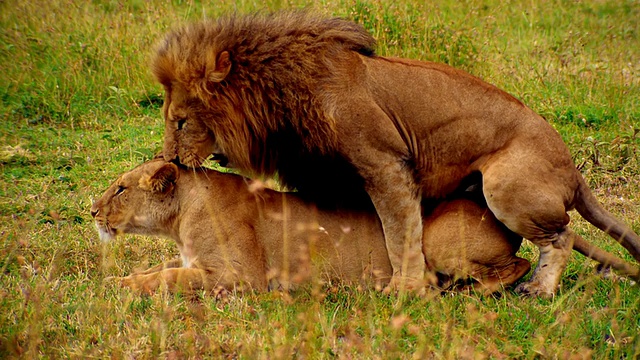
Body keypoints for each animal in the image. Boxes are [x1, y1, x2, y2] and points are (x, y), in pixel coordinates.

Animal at [92, 159, 536, 294]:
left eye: (121, 189)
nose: (91, 210)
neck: (180, 217)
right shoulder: (191, 259)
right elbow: (158, 269)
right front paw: (118, 281)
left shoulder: (243, 276)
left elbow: (169, 278)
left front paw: (122, 287)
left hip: (436, 240)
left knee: (521, 266)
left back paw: (472, 291)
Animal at [154, 12, 640, 296]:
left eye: (180, 121)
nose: (171, 161)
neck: (279, 100)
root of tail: (573, 169)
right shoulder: (322, 178)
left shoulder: (384, 163)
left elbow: (400, 231)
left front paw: (405, 290)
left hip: (505, 183)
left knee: (562, 237)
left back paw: (536, 291)